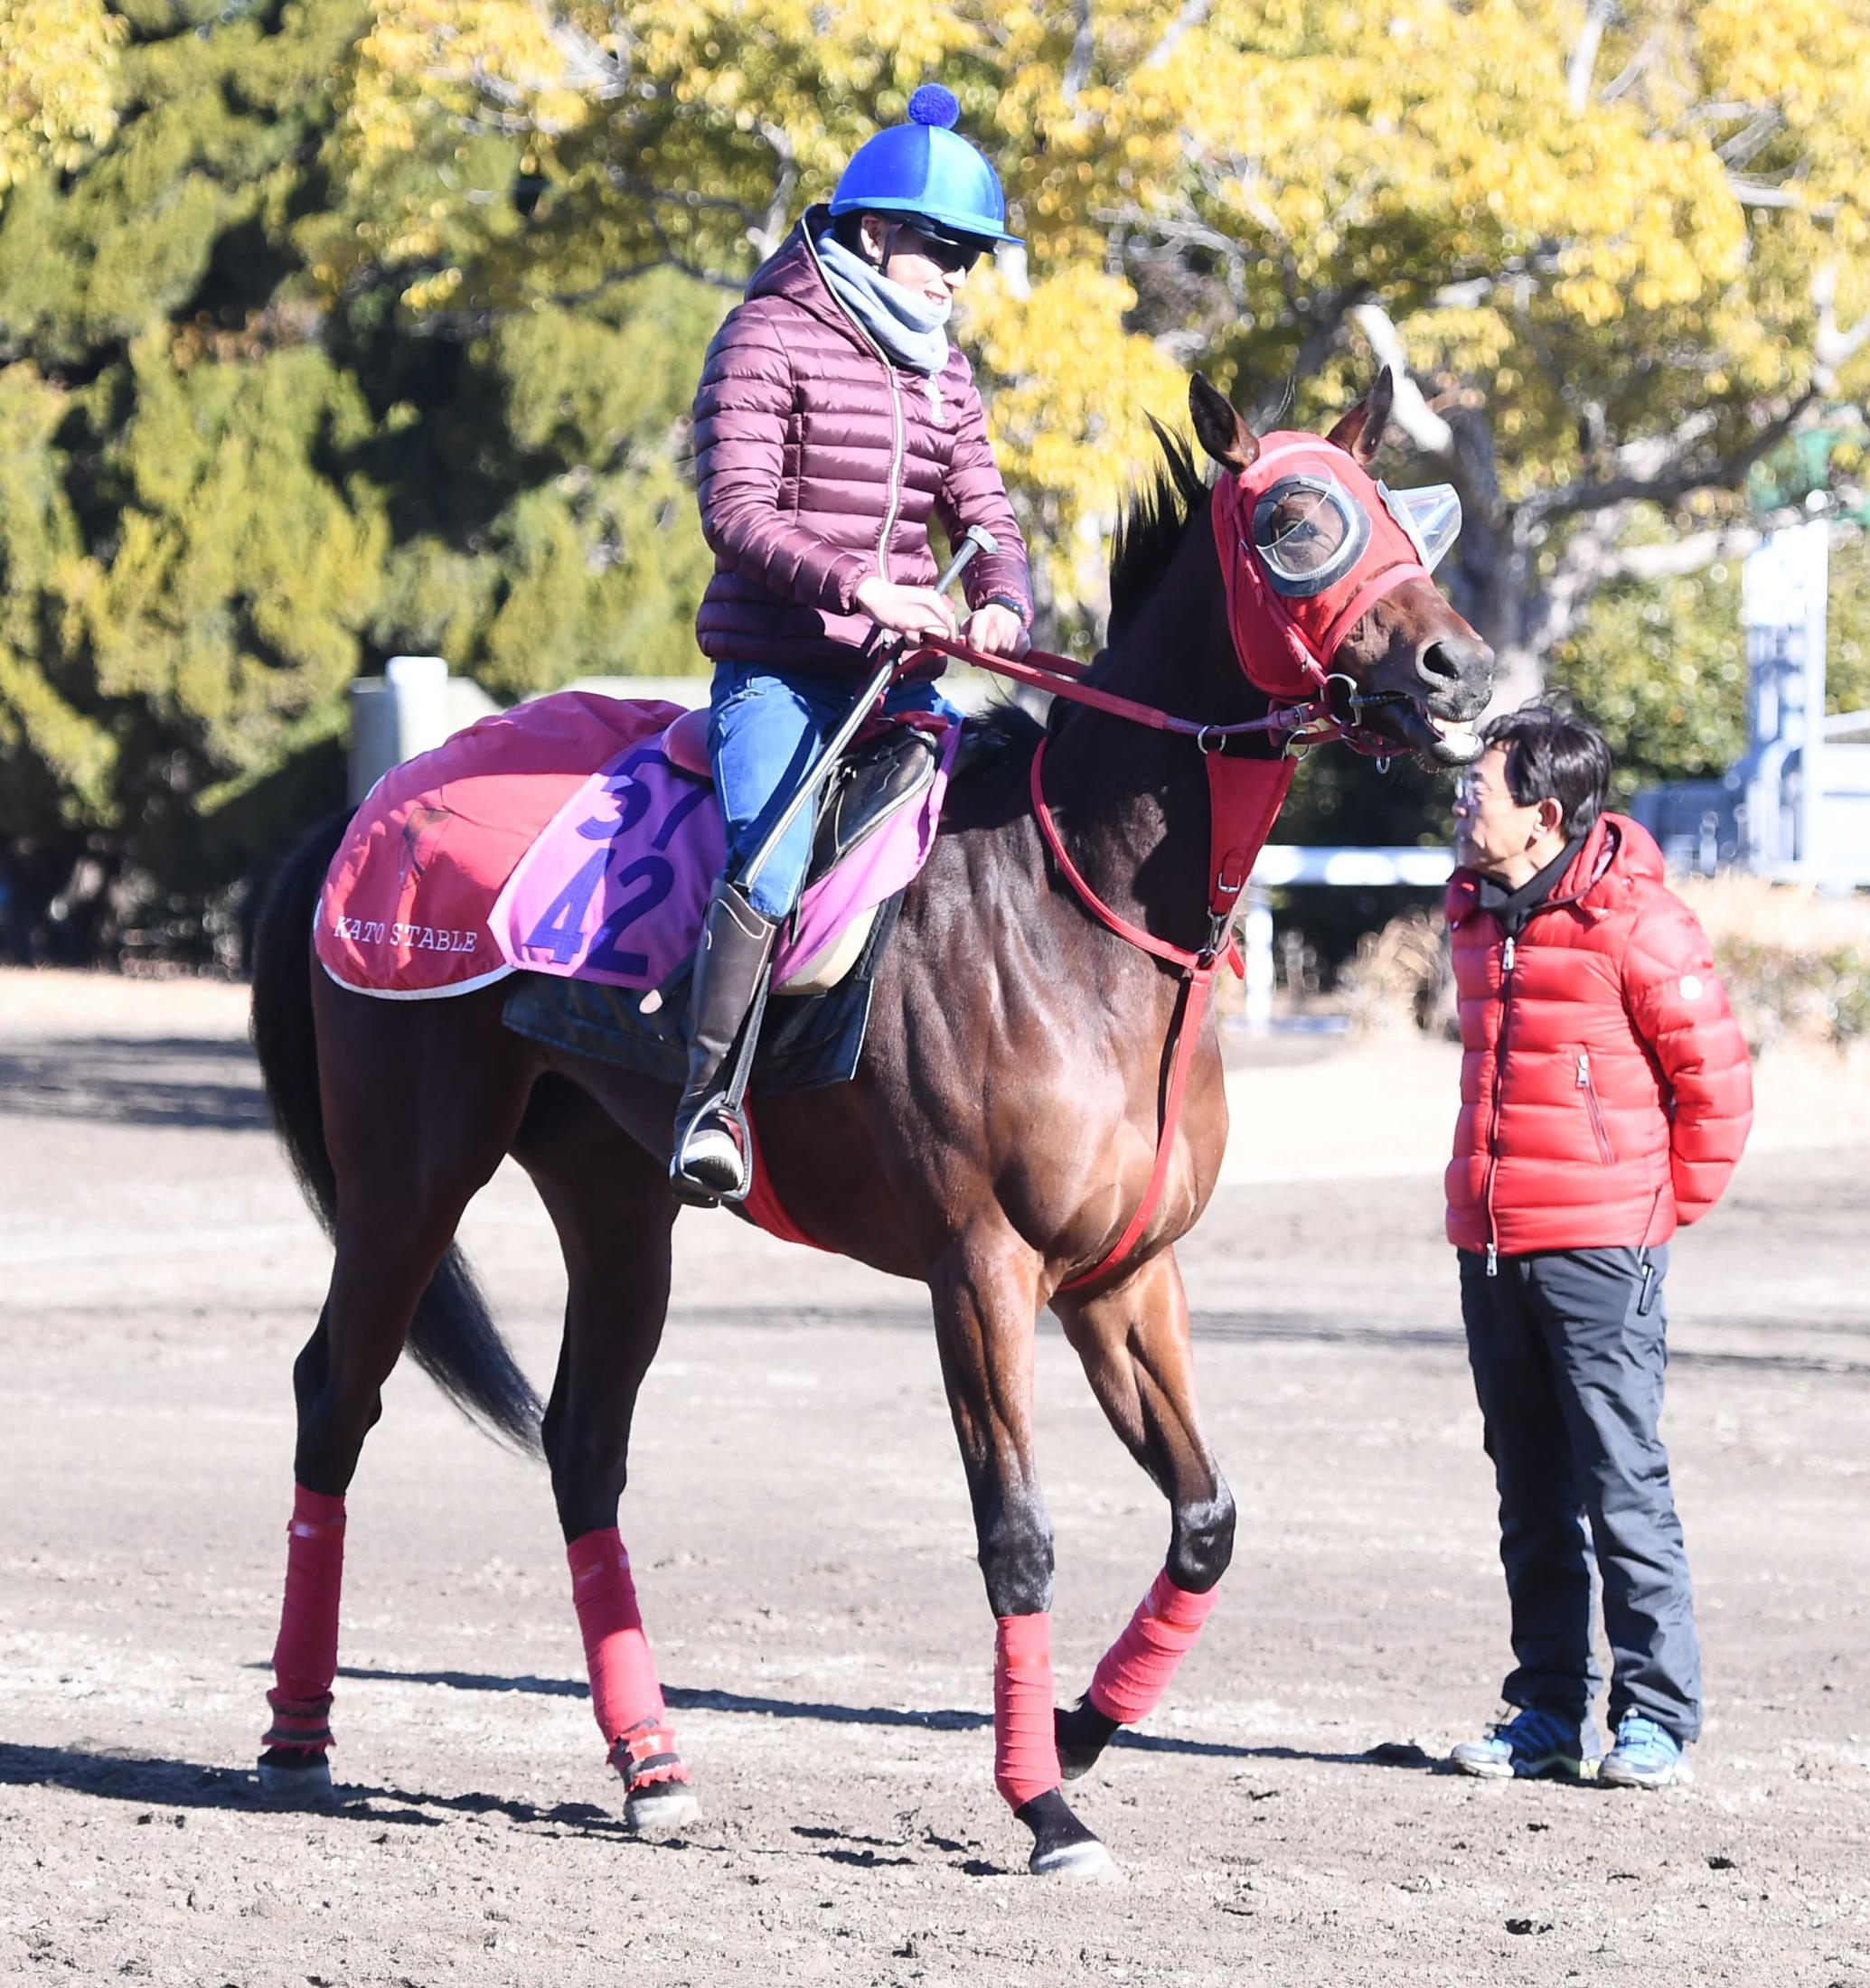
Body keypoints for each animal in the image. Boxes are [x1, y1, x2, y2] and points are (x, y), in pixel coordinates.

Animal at [249, 373, 1496, 1876]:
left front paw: (1079, 1728)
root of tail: (371, 809)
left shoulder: (1125, 1278)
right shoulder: (982, 1271)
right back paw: (297, 1741)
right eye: (1298, 523)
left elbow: (1207, 1521)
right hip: (409, 1177)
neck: (1080, 913)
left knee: (583, 1446)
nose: (1462, 672)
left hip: (615, 1203)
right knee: (335, 1397)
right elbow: (1017, 1535)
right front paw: (1044, 1804)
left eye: (1408, 517)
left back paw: (652, 1766)